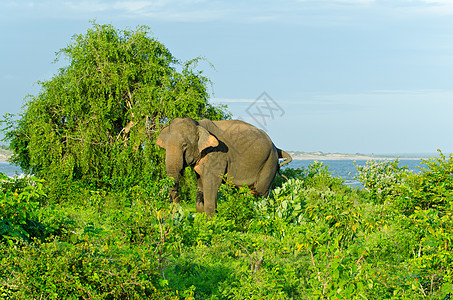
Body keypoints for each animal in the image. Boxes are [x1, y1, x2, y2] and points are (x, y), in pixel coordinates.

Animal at [154, 117, 290, 216]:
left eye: (184, 145)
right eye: (165, 146)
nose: (176, 210)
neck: (198, 124)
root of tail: (275, 146)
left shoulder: (216, 154)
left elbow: (212, 182)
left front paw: (211, 219)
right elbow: (201, 182)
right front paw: (203, 216)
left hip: (269, 163)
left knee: (260, 192)